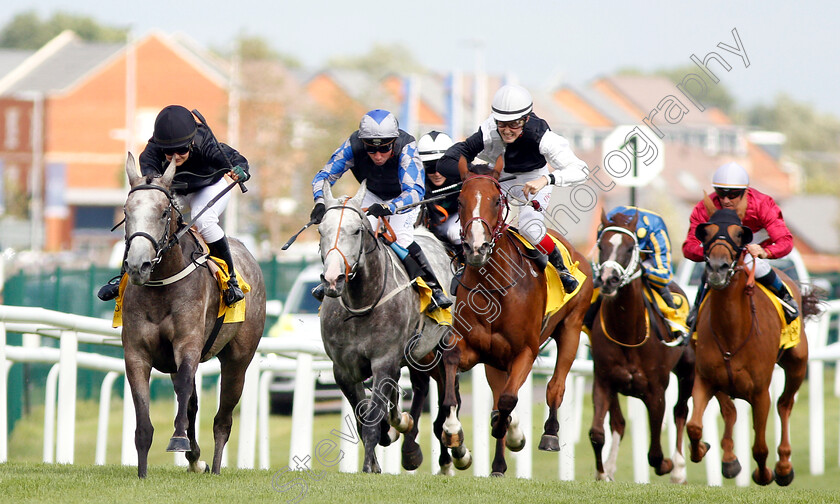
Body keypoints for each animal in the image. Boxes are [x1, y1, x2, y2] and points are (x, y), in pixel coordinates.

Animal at [120, 153, 266, 476]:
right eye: (126, 211)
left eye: (163, 212)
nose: (138, 265)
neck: (161, 285)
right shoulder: (136, 352)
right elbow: (145, 415)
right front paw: (142, 472)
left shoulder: (188, 345)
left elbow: (187, 387)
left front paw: (177, 439)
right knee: (192, 404)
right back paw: (195, 458)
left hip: (239, 359)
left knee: (223, 418)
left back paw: (215, 466)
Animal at [316, 183, 470, 474]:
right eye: (321, 230)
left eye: (357, 230)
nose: (332, 279)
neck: (362, 303)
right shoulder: (343, 370)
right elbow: (363, 416)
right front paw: (384, 442)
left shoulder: (383, 361)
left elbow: (372, 417)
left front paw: (369, 466)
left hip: (442, 341)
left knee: (449, 382)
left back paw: (453, 437)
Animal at [436, 158, 592, 476]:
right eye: (459, 201)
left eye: (496, 201)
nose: (476, 248)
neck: (494, 287)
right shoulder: (476, 349)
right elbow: (453, 370)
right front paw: (453, 431)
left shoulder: (525, 351)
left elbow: (507, 401)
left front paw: (512, 432)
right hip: (496, 361)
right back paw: (498, 464)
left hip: (571, 327)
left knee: (555, 386)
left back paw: (549, 434)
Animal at [584, 208, 696, 480]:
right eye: (601, 246)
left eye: (628, 248)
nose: (608, 280)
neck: (627, 333)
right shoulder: (603, 380)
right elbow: (597, 433)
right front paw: (602, 473)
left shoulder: (656, 391)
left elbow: (655, 452)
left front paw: (668, 465)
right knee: (618, 423)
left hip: (688, 369)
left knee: (680, 412)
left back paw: (679, 468)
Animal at [684, 207, 816, 486]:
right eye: (706, 233)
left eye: (739, 235)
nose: (717, 268)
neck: (732, 332)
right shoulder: (705, 378)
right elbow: (695, 426)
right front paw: (702, 449)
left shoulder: (760, 392)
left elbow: (760, 447)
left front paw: (765, 474)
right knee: (730, 410)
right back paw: (729, 460)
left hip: (797, 365)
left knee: (785, 405)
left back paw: (784, 467)